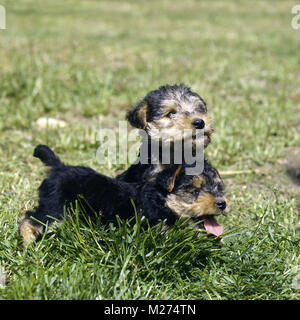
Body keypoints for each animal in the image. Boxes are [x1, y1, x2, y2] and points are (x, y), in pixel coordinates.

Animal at [18, 145, 229, 245]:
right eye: (194, 191)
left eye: (219, 188)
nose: (222, 203)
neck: (162, 201)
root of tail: (59, 168)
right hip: (55, 207)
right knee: (31, 219)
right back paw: (28, 243)